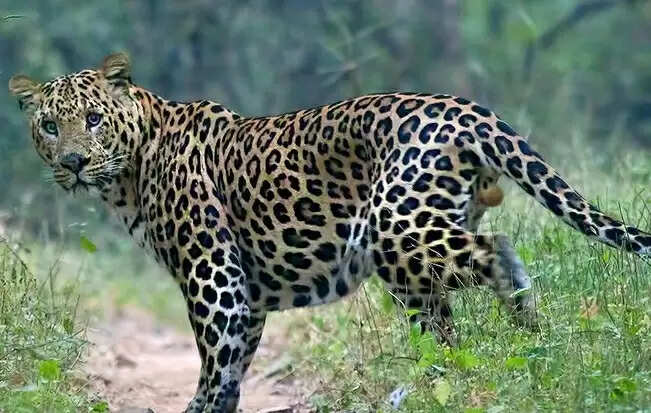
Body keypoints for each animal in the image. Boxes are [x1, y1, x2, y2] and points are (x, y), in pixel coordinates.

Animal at [9, 53, 650, 412]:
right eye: (50, 126)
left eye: (93, 120)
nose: (71, 163)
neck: (132, 168)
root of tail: (468, 108)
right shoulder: (248, 295)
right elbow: (233, 368)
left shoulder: (213, 276)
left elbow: (215, 362)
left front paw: (198, 407)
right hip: (412, 257)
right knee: (442, 328)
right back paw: (436, 386)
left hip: (399, 227)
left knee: (498, 254)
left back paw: (527, 332)